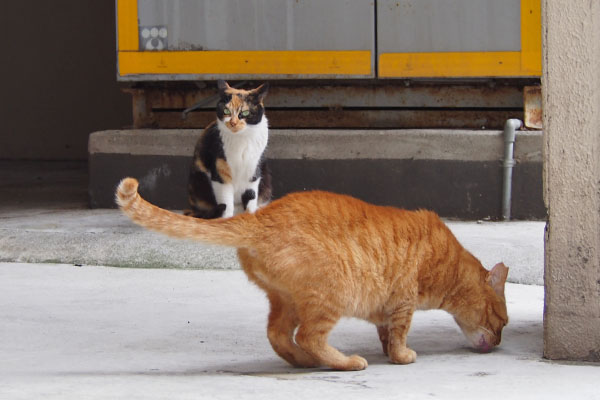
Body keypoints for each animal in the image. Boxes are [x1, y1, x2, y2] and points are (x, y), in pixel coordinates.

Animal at [116, 178, 506, 372]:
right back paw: (345, 362)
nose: (500, 343)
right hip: (330, 295)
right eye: (501, 322)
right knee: (308, 336)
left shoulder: (387, 306)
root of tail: (260, 216)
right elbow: (398, 336)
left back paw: (305, 362)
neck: (448, 262)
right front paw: (401, 355)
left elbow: (385, 333)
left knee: (279, 335)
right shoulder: (403, 301)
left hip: (286, 300)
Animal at [185, 80, 272, 219]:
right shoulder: (221, 172)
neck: (241, 139)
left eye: (245, 113)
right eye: (226, 110)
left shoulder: (253, 168)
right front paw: (226, 219)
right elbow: (226, 201)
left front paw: (250, 215)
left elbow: (251, 195)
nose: (233, 123)